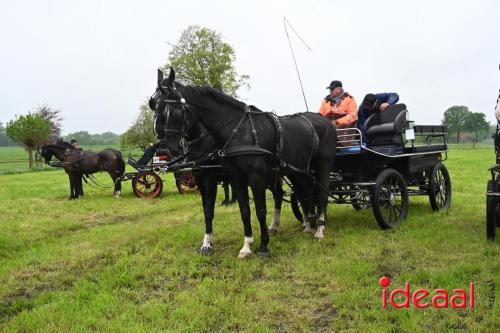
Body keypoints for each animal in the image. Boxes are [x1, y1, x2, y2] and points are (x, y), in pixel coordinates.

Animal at [154, 68, 338, 256]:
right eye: (155, 105)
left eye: (172, 111)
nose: (170, 147)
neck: (240, 132)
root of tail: (324, 121)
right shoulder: (233, 179)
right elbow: (240, 211)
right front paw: (245, 245)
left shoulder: (250, 179)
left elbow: (260, 211)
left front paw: (263, 246)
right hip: (297, 170)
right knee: (302, 193)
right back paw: (307, 224)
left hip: (322, 165)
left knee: (321, 194)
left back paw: (319, 229)